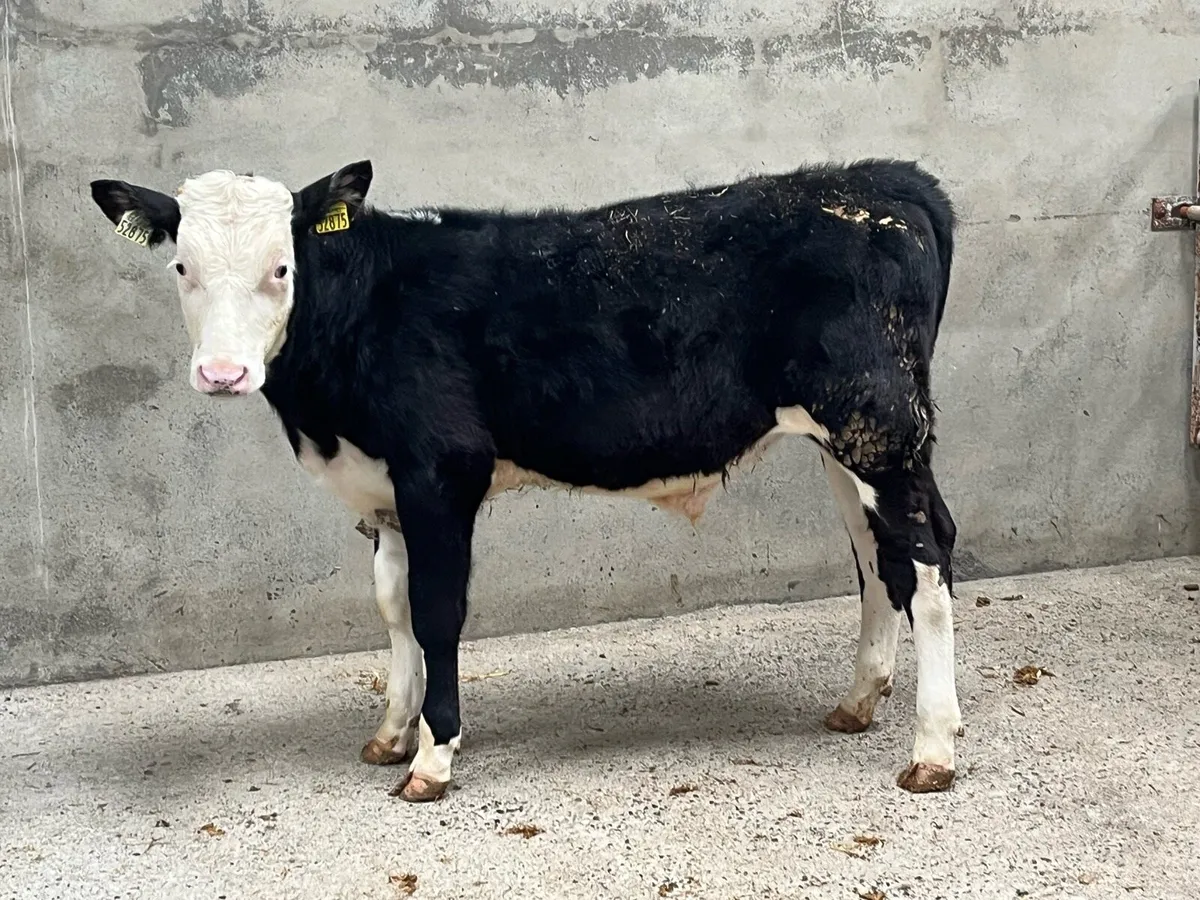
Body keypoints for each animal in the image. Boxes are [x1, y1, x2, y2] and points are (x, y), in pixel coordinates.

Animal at [89, 157, 963, 802]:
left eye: (281, 267)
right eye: (180, 265)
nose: (223, 373)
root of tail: (880, 181)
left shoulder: (441, 470)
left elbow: (437, 613)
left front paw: (433, 757)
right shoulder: (385, 492)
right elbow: (393, 610)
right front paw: (390, 733)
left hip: (881, 428)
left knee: (925, 562)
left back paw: (933, 749)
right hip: (846, 439)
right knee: (875, 559)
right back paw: (857, 702)